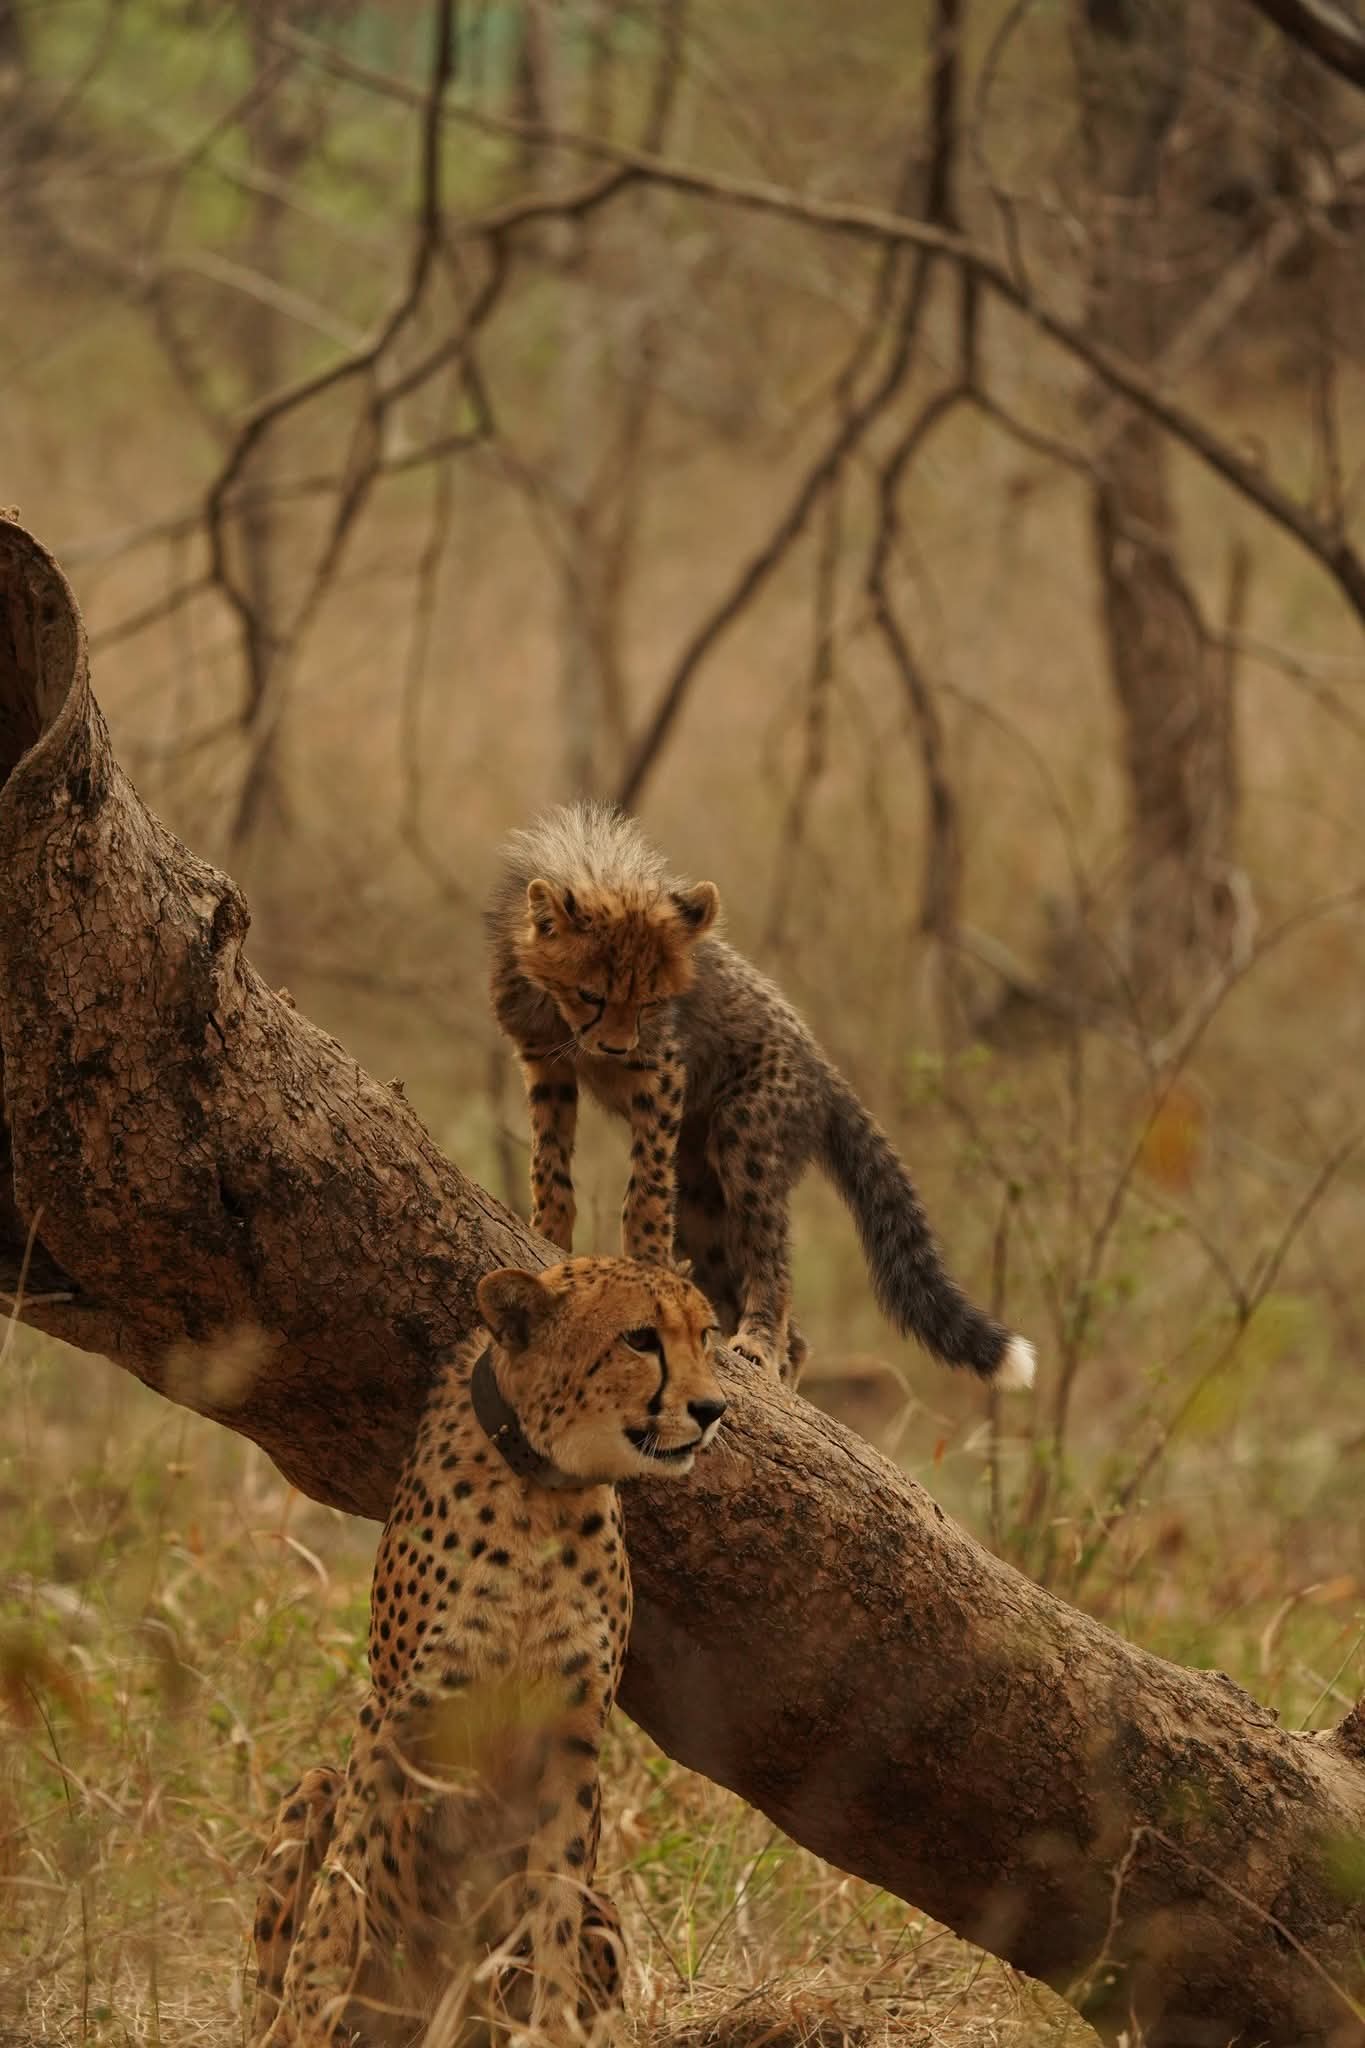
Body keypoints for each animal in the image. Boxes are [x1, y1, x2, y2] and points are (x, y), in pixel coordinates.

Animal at [250, 1255, 726, 2048]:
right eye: (640, 1339)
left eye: (706, 1335)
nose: (714, 1409)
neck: (541, 1489)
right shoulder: (396, 1716)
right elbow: (345, 1880)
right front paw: (310, 2003)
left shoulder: (572, 1738)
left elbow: (555, 1897)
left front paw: (555, 2027)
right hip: (315, 1786)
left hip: (597, 1917)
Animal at [486, 801, 1035, 1392]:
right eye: (592, 994)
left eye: (652, 1001)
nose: (615, 1048)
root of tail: (824, 1070)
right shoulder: (545, 1064)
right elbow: (548, 1162)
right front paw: (547, 1233)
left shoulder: (662, 1072)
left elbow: (647, 1187)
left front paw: (648, 1259)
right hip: (701, 1201)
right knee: (792, 1333)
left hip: (745, 1138)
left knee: (772, 1262)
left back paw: (757, 1343)